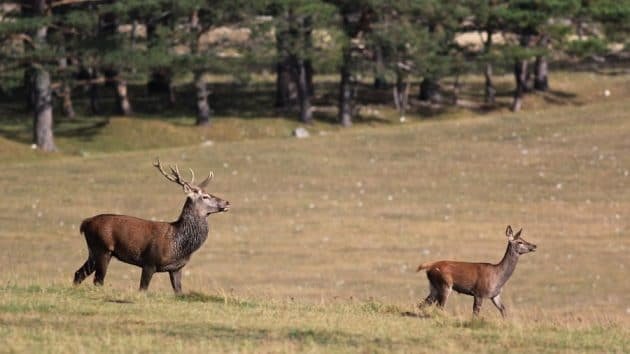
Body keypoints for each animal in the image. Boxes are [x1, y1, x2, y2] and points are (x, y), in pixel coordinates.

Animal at [74, 159, 231, 294]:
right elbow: (142, 289)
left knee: (79, 273)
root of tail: (85, 223)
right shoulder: (149, 262)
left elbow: (179, 292)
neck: (178, 243)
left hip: (93, 251)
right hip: (103, 249)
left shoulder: (176, 268)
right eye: (205, 196)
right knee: (98, 280)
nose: (227, 202)